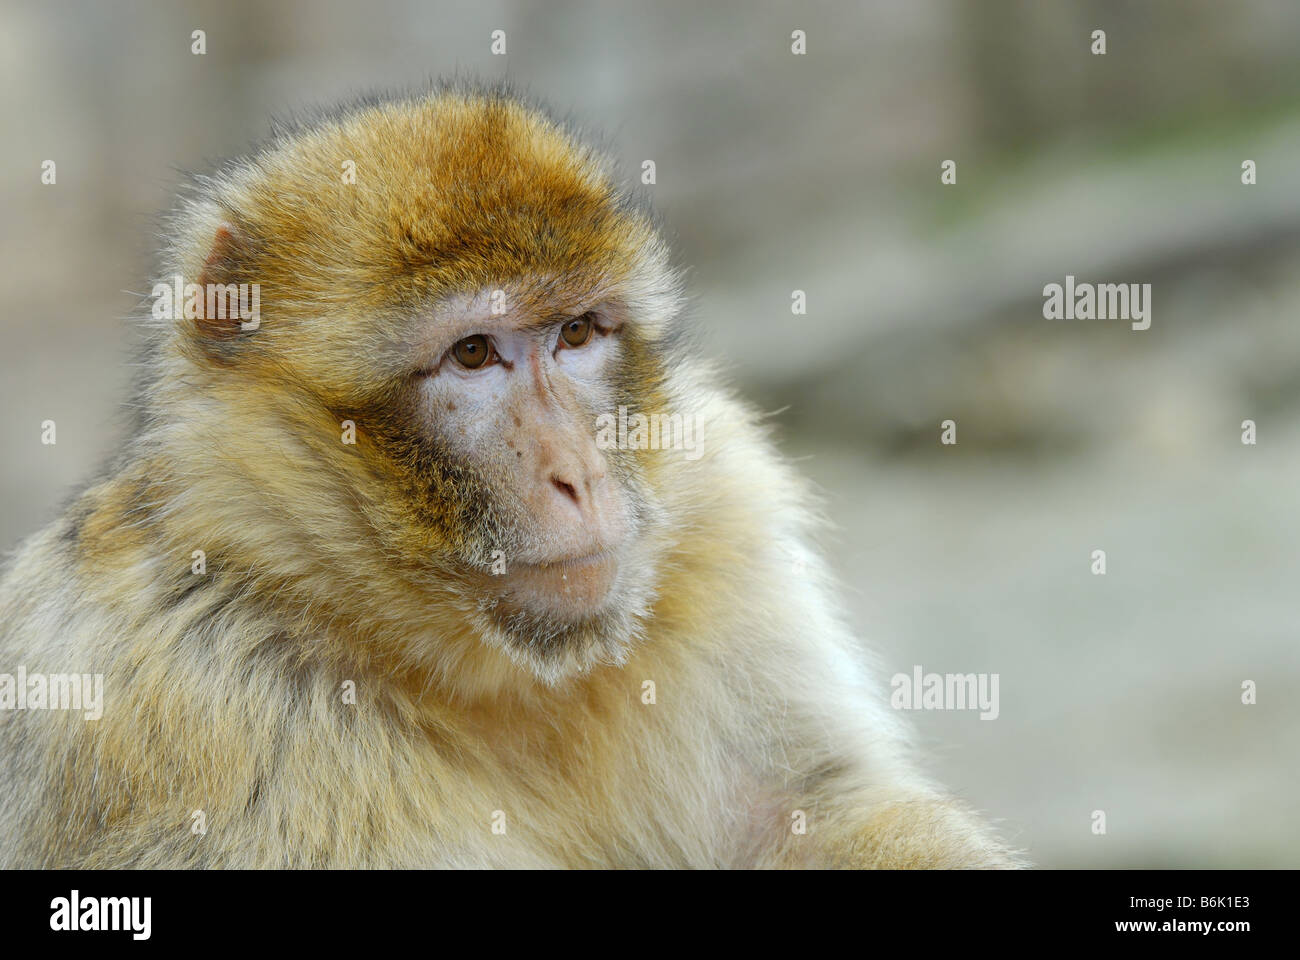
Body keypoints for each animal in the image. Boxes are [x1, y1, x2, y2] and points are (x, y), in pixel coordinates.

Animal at [0, 83, 1019, 868]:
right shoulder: (200, 712)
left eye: (575, 333)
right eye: (473, 353)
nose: (580, 477)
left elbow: (821, 810)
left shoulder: (720, 514)